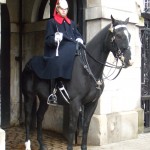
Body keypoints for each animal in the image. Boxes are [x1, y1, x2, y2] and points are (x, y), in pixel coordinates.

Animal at [21, 15, 132, 150]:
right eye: (118, 35)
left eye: (129, 35)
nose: (129, 60)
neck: (88, 68)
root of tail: (29, 63)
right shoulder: (75, 103)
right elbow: (72, 126)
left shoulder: (92, 103)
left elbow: (86, 126)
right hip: (29, 96)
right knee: (28, 119)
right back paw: (27, 144)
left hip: (44, 99)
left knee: (39, 116)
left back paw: (41, 144)